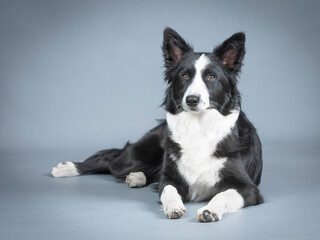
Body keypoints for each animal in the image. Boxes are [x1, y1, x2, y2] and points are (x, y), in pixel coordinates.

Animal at [52, 28, 262, 223]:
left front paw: (210, 210)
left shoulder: (249, 188)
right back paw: (67, 168)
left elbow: (224, 194)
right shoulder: (171, 178)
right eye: (184, 76)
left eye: (211, 77)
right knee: (109, 159)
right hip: (136, 156)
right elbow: (167, 189)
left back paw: (136, 177)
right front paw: (174, 206)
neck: (199, 126)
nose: (192, 100)